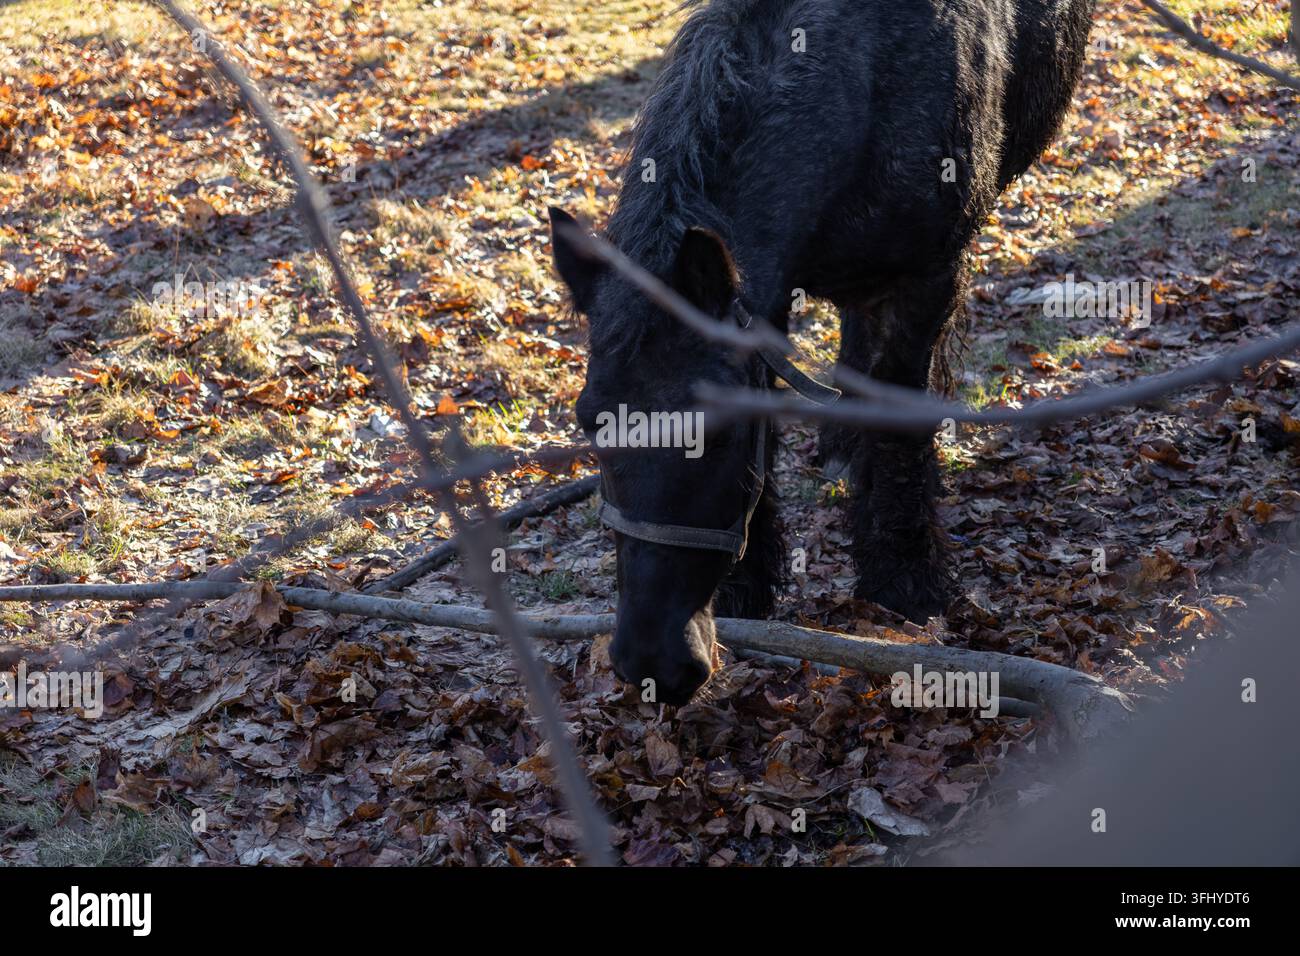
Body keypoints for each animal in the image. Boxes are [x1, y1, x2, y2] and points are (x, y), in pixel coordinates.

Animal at [549, 0, 1095, 705]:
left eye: (720, 433)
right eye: (590, 422)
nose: (653, 663)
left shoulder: (922, 283)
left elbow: (899, 428)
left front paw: (904, 581)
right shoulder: (769, 296)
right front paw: (747, 589)